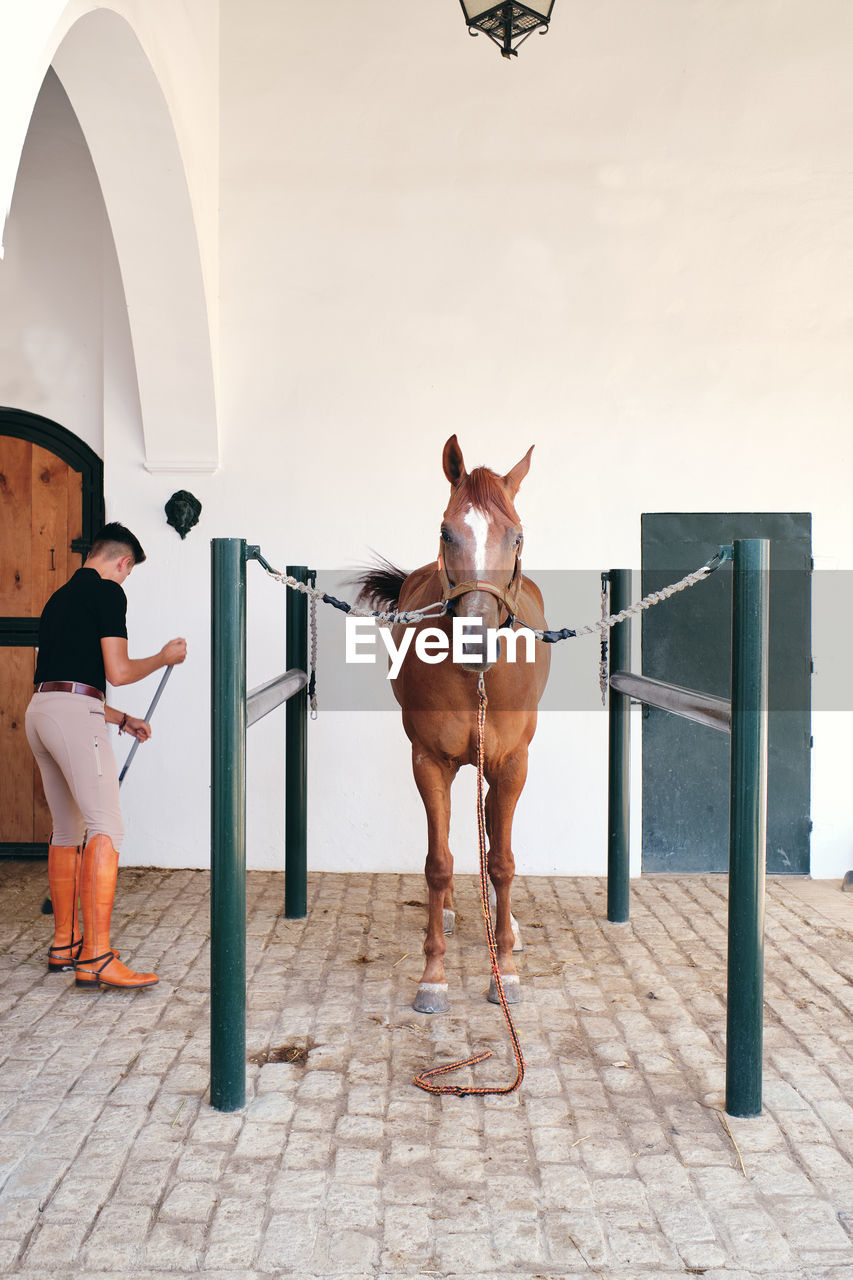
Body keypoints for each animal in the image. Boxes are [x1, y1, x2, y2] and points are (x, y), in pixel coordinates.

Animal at [356, 435, 548, 1013]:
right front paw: (432, 977)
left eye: (517, 535)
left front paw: (504, 970)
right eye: (447, 531)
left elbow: (502, 860)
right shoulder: (429, 761)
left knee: (490, 836)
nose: (476, 640)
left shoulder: (511, 764)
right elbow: (438, 863)